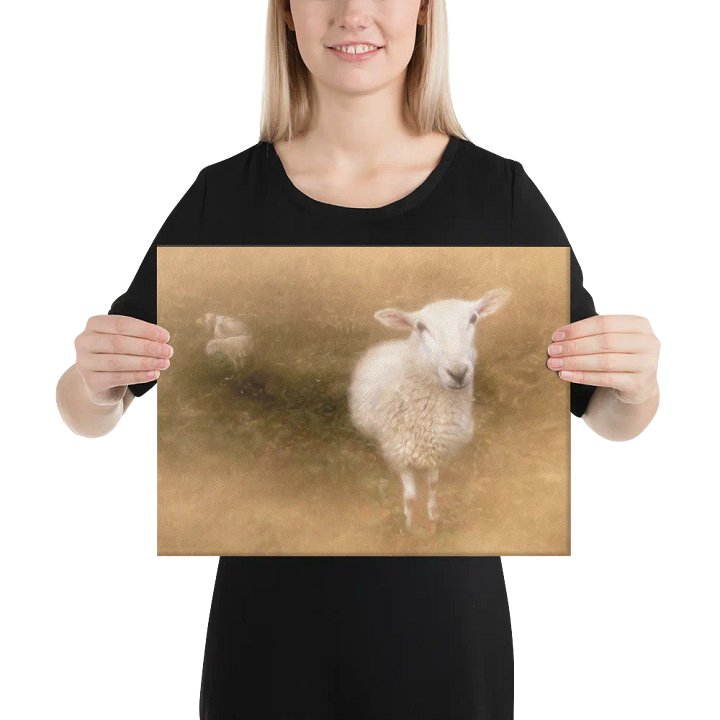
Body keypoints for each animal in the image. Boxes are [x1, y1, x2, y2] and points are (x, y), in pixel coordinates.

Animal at [347, 289, 511, 529]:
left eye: (473, 318)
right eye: (421, 327)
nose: (458, 373)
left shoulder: (437, 450)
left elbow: (433, 484)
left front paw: (433, 516)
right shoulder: (400, 452)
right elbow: (410, 495)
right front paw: (409, 524)